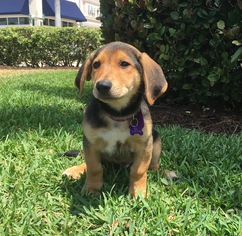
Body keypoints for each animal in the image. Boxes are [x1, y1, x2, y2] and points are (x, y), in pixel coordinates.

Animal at [62, 41, 168, 197]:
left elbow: (138, 170)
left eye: (124, 64)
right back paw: (74, 170)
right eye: (96, 64)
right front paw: (92, 189)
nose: (102, 86)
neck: (118, 114)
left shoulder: (143, 145)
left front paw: (138, 193)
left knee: (153, 166)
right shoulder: (90, 143)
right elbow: (94, 168)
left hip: (156, 139)